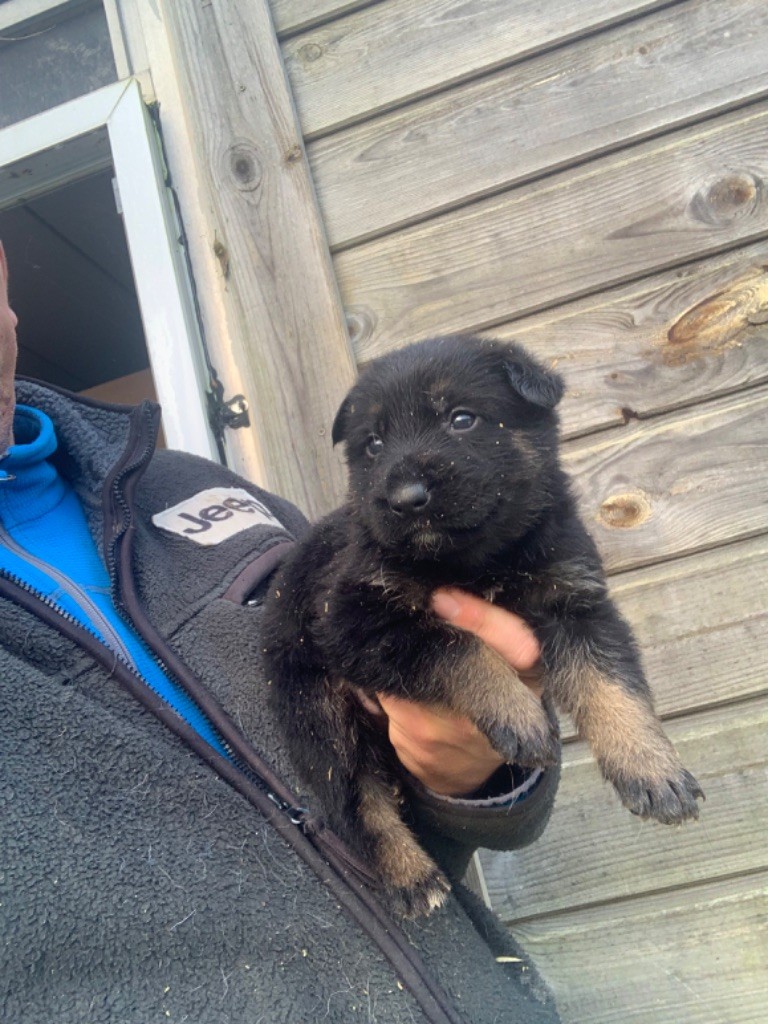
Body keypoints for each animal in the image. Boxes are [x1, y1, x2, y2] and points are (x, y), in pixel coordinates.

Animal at [264, 337, 704, 921]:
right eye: (373, 445)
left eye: (462, 419)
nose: (405, 498)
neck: (475, 562)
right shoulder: (353, 622)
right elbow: (455, 646)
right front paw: (516, 711)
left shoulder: (575, 601)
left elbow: (612, 686)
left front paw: (651, 766)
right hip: (319, 712)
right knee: (357, 798)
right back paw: (410, 875)